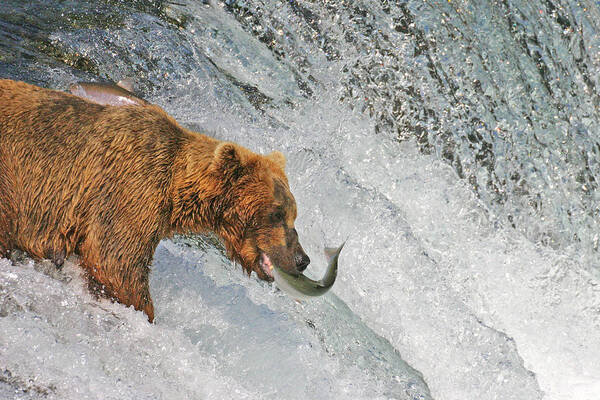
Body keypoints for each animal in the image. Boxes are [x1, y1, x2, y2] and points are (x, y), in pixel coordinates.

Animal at [0, 79, 310, 324]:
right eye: (277, 213)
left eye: (294, 214)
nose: (302, 259)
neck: (178, 190)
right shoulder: (129, 190)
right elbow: (116, 263)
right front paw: (145, 314)